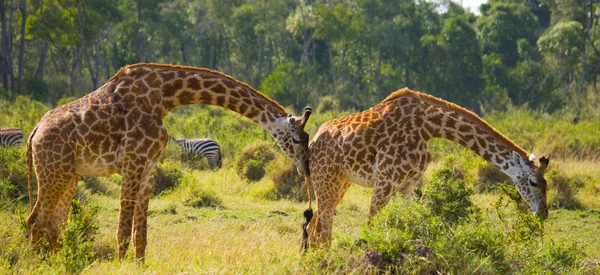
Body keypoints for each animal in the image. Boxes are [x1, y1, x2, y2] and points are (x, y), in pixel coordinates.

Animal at [25, 63, 312, 264]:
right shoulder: (132, 160)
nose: (306, 169)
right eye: (298, 139)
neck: (166, 97)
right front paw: (120, 264)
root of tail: (34, 133)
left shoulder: (150, 163)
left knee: (53, 223)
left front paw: (139, 265)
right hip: (53, 171)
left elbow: (141, 231)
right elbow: (123, 227)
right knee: (35, 221)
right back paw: (36, 264)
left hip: (69, 175)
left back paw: (60, 262)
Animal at [304, 89, 548, 249]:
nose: (543, 214)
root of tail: (312, 143)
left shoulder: (407, 185)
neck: (428, 127)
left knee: (314, 227)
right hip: (326, 181)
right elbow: (371, 226)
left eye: (547, 184)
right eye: (534, 182)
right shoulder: (384, 180)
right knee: (322, 231)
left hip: (341, 183)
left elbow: (409, 223)